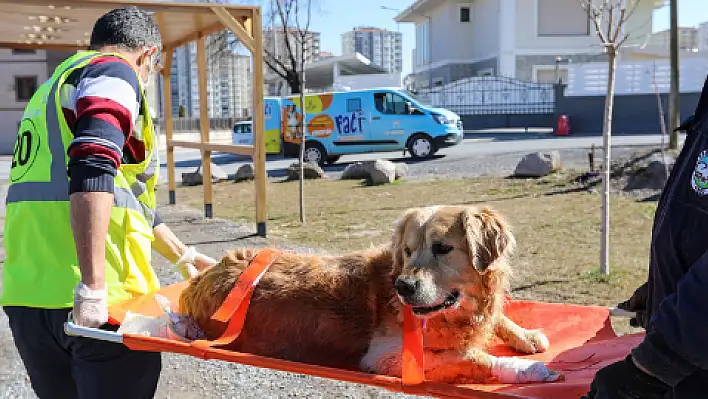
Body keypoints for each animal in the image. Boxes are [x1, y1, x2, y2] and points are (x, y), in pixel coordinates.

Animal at [180, 206, 560, 384]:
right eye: (407, 251)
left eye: (442, 248)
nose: (404, 287)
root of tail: (203, 276)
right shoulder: (385, 357)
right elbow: (466, 357)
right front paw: (524, 370)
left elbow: (496, 318)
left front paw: (525, 335)